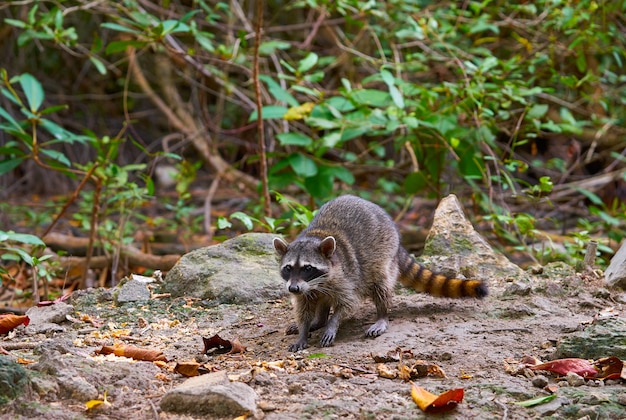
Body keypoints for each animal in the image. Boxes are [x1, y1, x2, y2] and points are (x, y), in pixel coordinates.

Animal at [272, 195, 488, 352]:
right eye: (288, 268)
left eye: (307, 268)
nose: (293, 288)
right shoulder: (306, 290)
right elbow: (303, 309)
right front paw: (305, 329)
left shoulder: (346, 278)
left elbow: (348, 303)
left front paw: (332, 323)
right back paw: (319, 320)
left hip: (383, 258)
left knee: (381, 286)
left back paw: (381, 315)